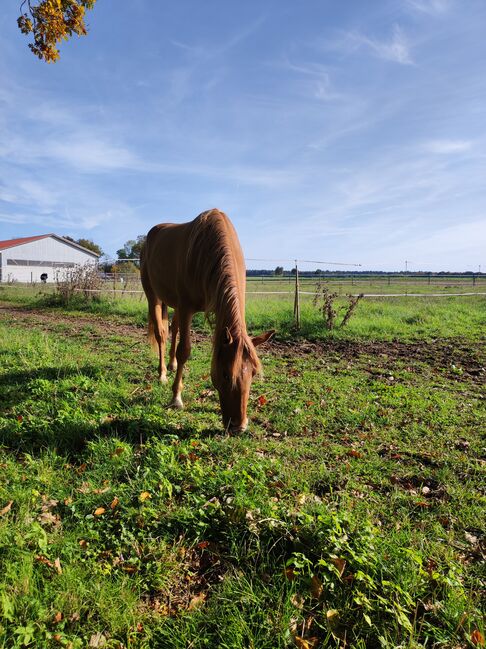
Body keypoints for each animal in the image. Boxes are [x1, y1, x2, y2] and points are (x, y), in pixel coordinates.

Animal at [140, 208, 274, 432]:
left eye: (254, 373)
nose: (239, 427)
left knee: (174, 328)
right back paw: (163, 374)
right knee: (161, 334)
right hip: (154, 296)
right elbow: (184, 350)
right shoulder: (186, 308)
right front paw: (176, 398)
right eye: (226, 374)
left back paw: (172, 364)